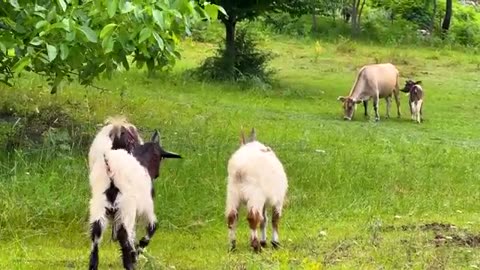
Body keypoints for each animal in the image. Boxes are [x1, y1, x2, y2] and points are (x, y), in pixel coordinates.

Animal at [88, 130, 182, 268]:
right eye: (160, 157)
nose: (157, 174)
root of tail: (112, 173)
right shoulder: (147, 207)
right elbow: (152, 227)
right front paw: (136, 254)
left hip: (99, 206)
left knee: (96, 235)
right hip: (126, 208)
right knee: (123, 235)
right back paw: (129, 263)